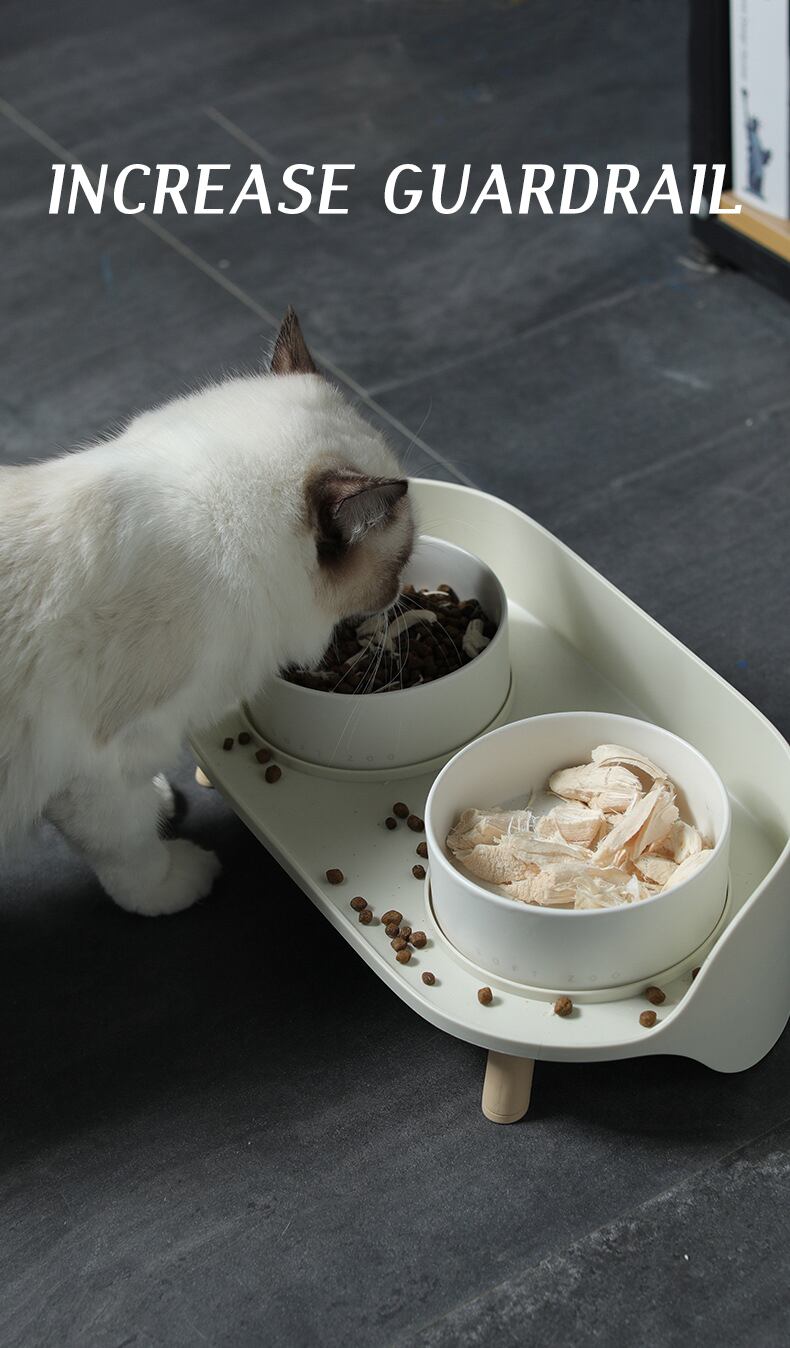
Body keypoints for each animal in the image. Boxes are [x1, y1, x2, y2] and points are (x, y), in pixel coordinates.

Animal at [0, 309, 414, 915]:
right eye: (401, 560)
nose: (402, 591)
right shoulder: (99, 769)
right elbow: (130, 850)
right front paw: (176, 883)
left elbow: (139, 816)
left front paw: (163, 805)